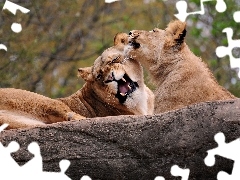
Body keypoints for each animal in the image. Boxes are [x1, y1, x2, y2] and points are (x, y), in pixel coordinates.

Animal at [0, 32, 154, 129]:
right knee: (70, 115)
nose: (110, 78)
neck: (141, 101)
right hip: (43, 100)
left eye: (114, 60)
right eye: (99, 76)